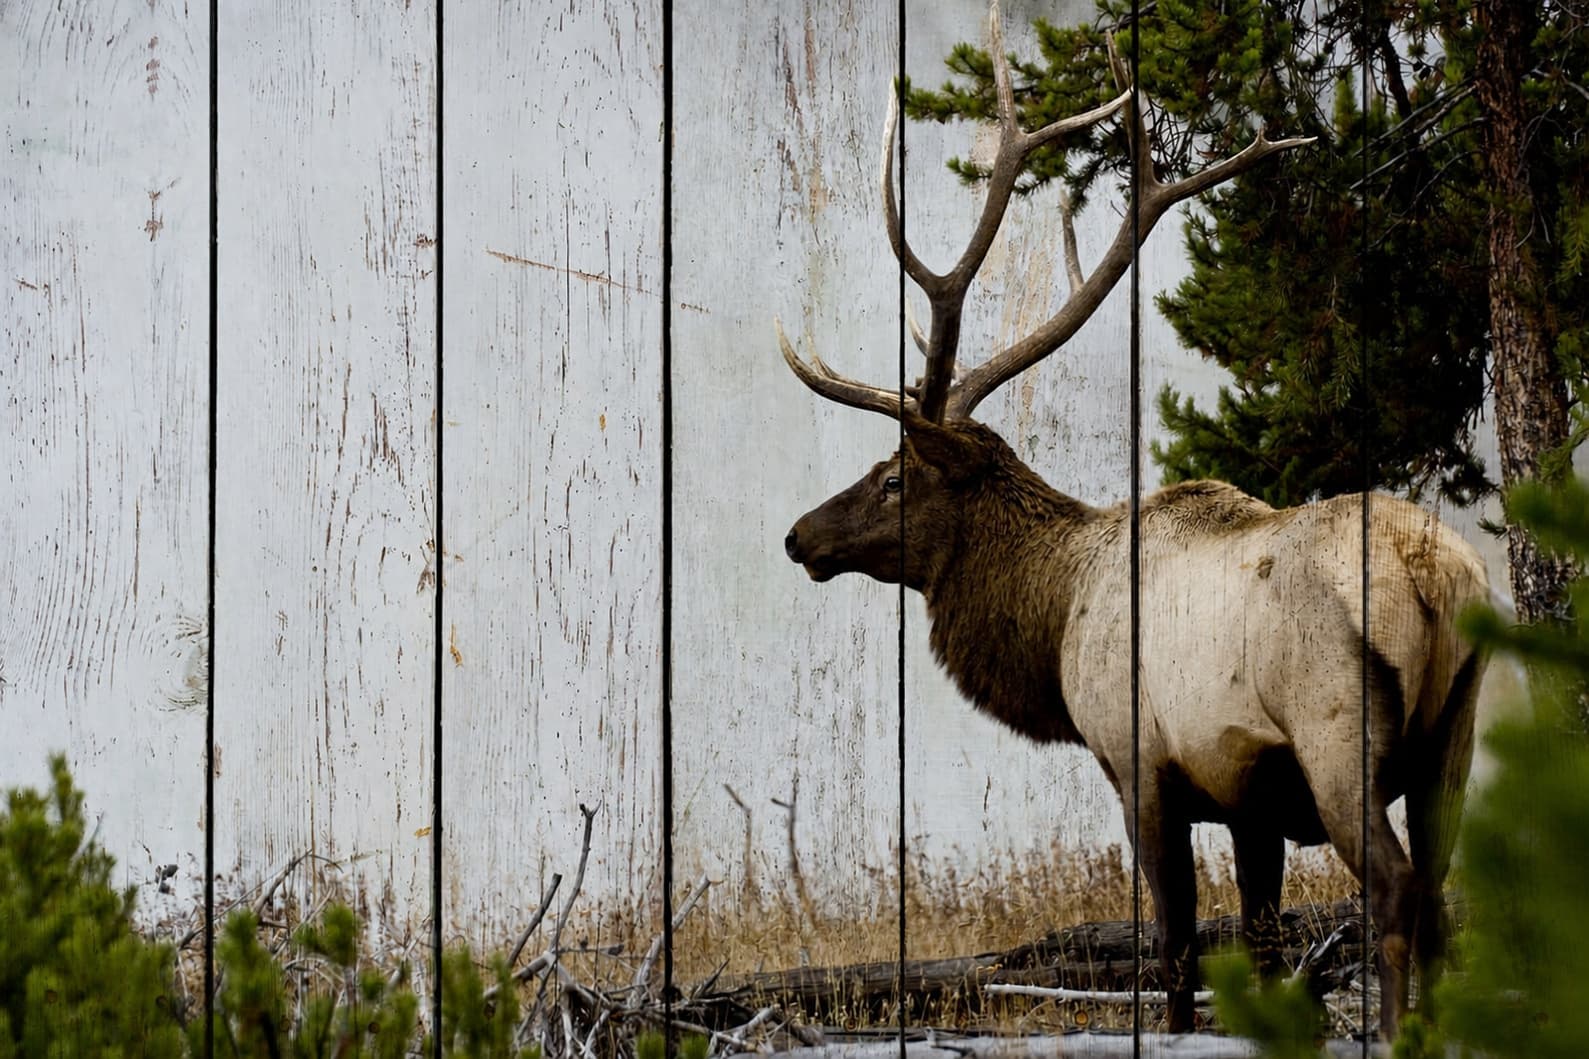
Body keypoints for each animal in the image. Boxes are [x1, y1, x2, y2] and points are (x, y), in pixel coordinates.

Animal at [777, 4, 1488, 1038]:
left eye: (896, 477)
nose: (799, 534)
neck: (1055, 617)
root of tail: (1433, 576)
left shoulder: (1138, 763)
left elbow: (1177, 946)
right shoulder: (1247, 797)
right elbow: (1261, 941)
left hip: (1335, 723)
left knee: (1394, 888)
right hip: (1454, 728)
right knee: (1437, 892)